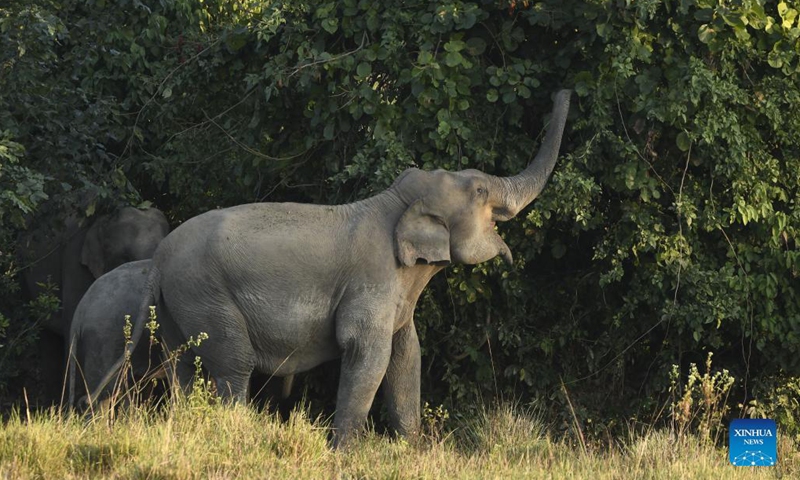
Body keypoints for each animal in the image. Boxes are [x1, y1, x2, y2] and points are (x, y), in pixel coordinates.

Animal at [94, 90, 572, 446]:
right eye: (479, 191)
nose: (562, 91)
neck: (393, 203)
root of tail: (159, 260)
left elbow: (407, 356)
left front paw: (410, 451)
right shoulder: (373, 279)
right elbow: (368, 355)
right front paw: (346, 453)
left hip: (177, 303)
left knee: (182, 367)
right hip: (204, 294)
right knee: (233, 366)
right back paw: (233, 434)